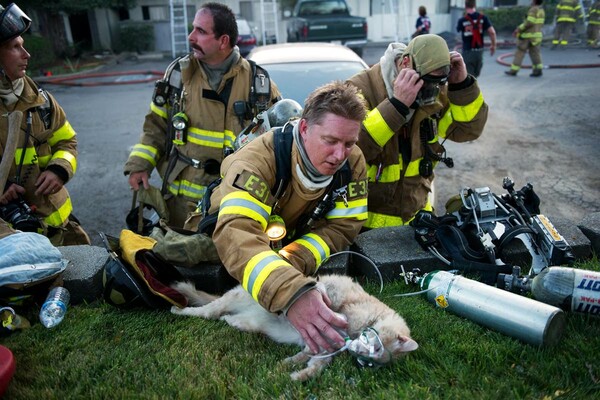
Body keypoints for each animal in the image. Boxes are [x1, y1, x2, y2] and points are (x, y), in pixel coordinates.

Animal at [173, 276, 418, 382]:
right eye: (375, 348)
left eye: (367, 362)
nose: (355, 352)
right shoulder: (335, 292)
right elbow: (323, 294)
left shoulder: (324, 344)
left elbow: (314, 363)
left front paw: (295, 371)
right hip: (230, 299)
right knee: (206, 311)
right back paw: (179, 309)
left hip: (246, 320)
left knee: (226, 317)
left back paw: (233, 321)